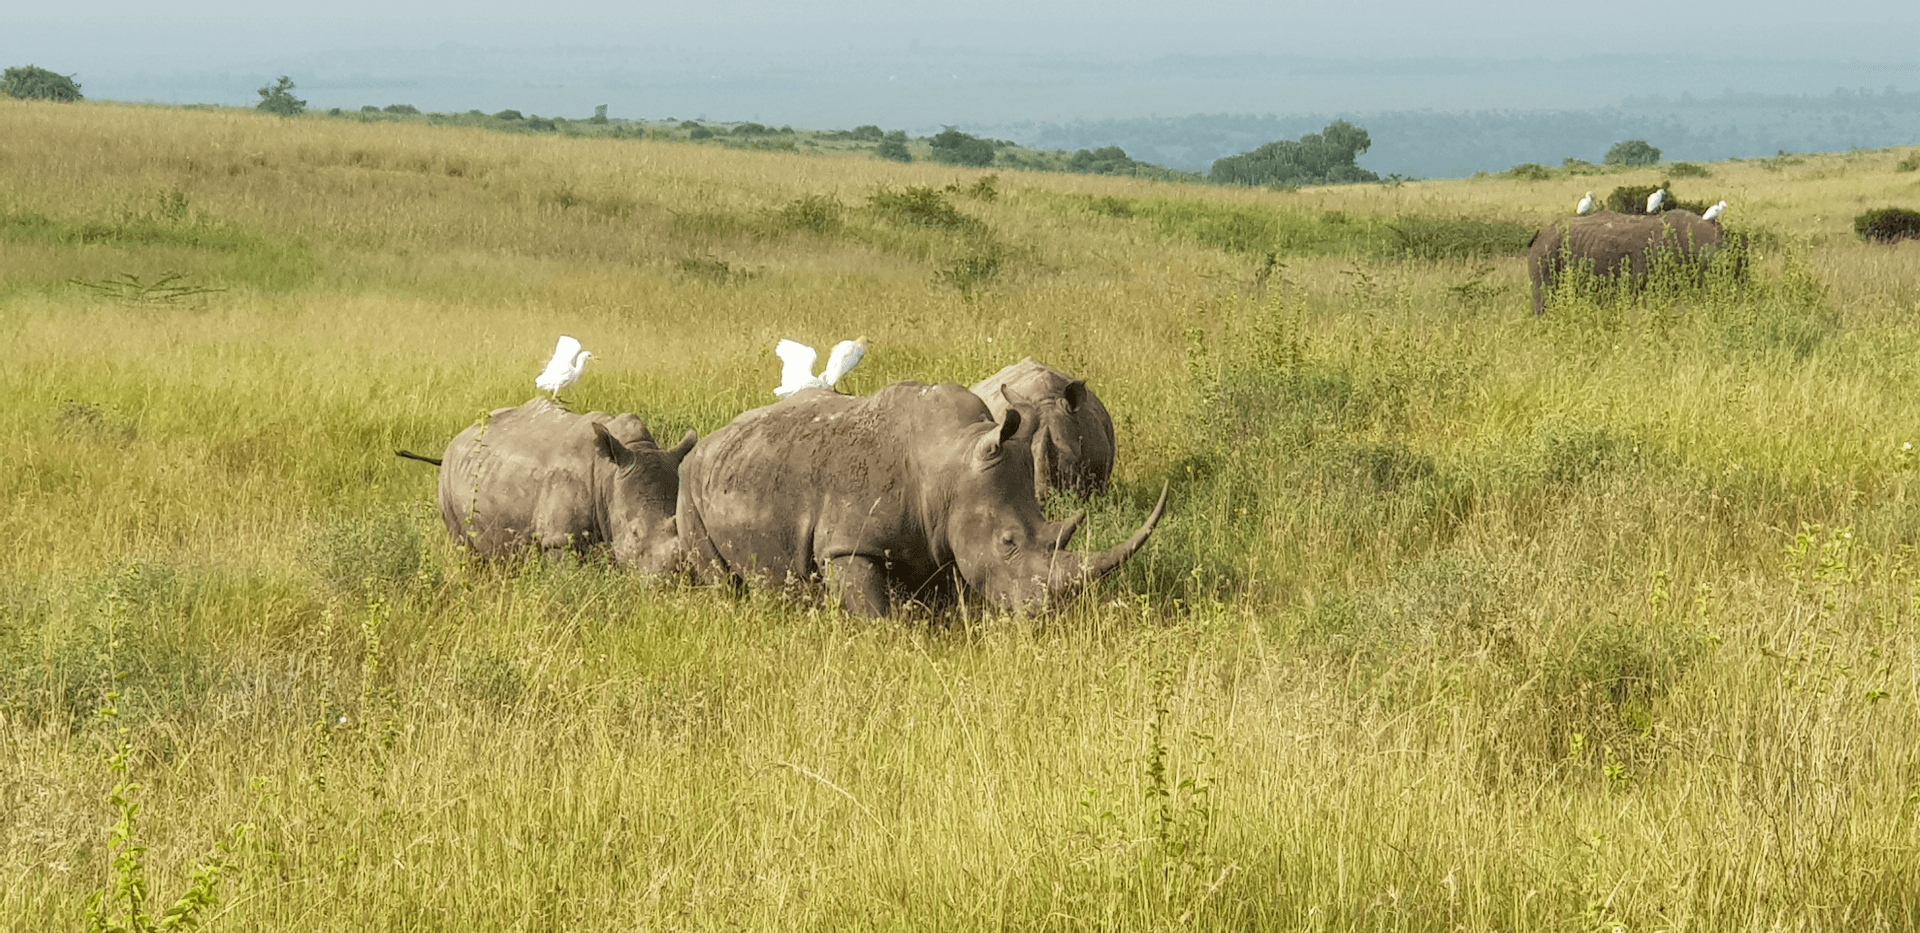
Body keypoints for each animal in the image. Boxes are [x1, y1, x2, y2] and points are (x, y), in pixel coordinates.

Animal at [421, 398, 695, 571]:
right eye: (634, 532)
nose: (673, 577)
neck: (608, 474)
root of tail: (459, 438)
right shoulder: (559, 540)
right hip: (447, 481)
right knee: (465, 548)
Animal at [676, 382, 1167, 616]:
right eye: (1008, 542)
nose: (1042, 614)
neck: (948, 466)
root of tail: (709, 442)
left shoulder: (942, 540)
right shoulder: (848, 543)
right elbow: (874, 613)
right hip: (689, 489)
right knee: (718, 578)